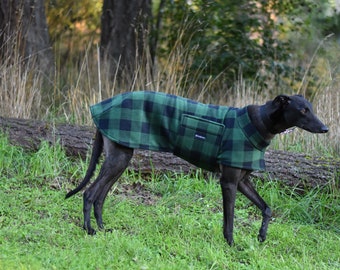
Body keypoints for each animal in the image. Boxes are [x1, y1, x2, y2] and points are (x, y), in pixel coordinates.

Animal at [65, 92, 328, 246]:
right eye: (303, 110)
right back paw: (89, 230)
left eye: (312, 108)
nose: (325, 129)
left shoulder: (243, 181)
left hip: (121, 158)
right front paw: (232, 245)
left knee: (100, 196)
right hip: (118, 159)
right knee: (89, 193)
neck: (261, 122)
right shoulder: (228, 182)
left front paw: (262, 235)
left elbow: (267, 208)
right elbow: (229, 219)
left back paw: (103, 228)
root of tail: (103, 109)